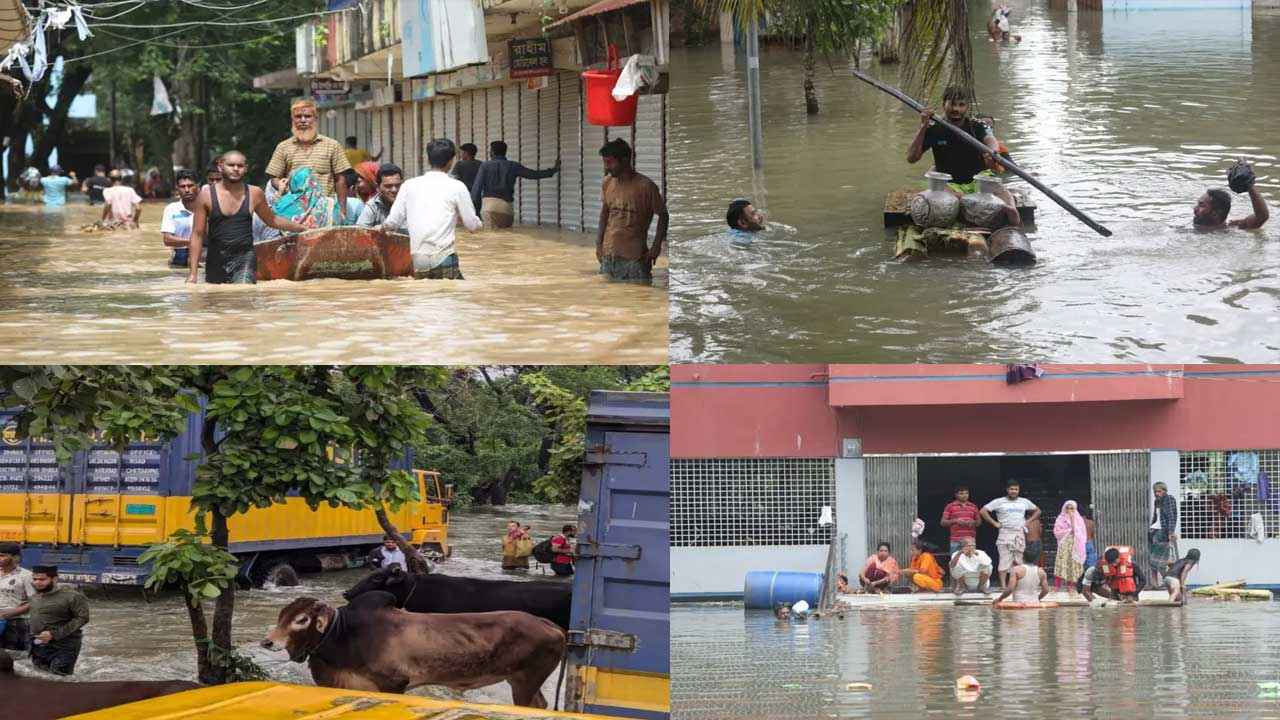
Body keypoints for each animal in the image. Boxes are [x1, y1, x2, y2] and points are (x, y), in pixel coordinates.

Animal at [261, 589, 565, 707]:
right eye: (281, 615)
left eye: (302, 619)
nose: (268, 642)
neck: (345, 634)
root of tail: (550, 625)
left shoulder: (394, 683)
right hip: (520, 680)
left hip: (525, 681)